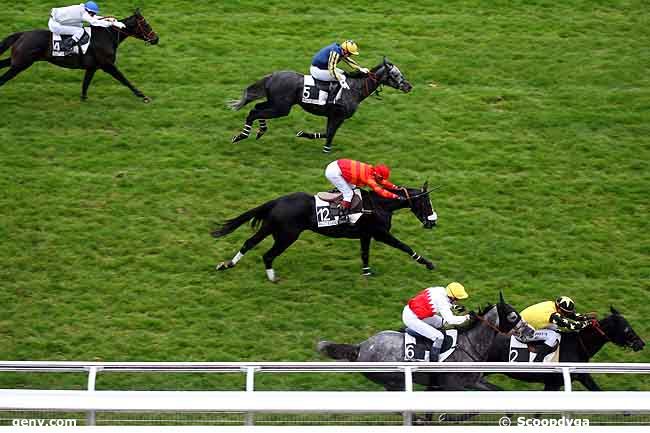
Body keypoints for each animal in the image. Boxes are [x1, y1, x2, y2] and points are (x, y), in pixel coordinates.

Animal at [0, 10, 157, 102]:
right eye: (146, 25)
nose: (156, 39)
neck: (108, 36)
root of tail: (22, 34)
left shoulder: (92, 67)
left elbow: (85, 83)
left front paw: (83, 99)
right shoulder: (107, 65)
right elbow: (124, 79)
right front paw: (143, 96)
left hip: (17, 61)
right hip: (20, 64)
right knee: (3, 78)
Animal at [211, 181, 436, 280]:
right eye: (426, 203)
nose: (433, 222)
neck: (380, 204)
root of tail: (277, 201)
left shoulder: (366, 234)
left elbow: (364, 254)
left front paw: (366, 272)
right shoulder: (380, 233)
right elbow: (405, 246)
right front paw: (428, 263)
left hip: (271, 228)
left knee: (249, 243)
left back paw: (226, 264)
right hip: (287, 235)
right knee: (267, 255)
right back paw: (272, 277)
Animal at [228, 57, 410, 152]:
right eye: (395, 74)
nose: (409, 86)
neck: (354, 88)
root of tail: (272, 76)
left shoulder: (332, 115)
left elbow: (326, 133)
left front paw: (304, 134)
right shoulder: (339, 116)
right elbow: (330, 133)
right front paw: (326, 150)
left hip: (274, 103)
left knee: (256, 108)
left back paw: (260, 131)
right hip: (281, 108)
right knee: (254, 112)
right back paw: (241, 136)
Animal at [316, 292, 532, 390]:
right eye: (512, 316)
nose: (530, 331)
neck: (469, 345)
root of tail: (361, 347)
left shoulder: (473, 383)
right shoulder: (453, 386)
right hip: (394, 381)